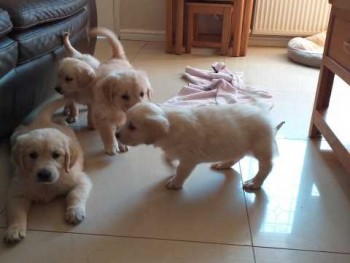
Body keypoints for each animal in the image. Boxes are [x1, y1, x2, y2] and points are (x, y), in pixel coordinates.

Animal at [4, 98, 91, 244]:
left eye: (56, 155)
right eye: (32, 155)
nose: (44, 174)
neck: (46, 186)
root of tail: (41, 119)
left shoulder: (81, 180)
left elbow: (75, 194)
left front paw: (74, 212)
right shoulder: (16, 193)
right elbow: (16, 212)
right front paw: (14, 230)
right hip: (15, 134)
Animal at [90, 27, 152, 155]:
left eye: (142, 94)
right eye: (124, 96)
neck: (116, 109)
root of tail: (116, 57)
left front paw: (122, 144)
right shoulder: (101, 116)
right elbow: (107, 132)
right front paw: (111, 147)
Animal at [116, 102, 284, 191]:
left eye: (132, 126)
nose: (116, 135)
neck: (170, 126)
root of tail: (268, 120)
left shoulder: (189, 159)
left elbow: (181, 171)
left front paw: (175, 183)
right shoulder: (173, 150)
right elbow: (167, 158)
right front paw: (171, 166)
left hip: (260, 147)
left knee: (266, 167)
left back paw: (254, 183)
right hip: (239, 144)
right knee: (237, 156)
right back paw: (223, 164)